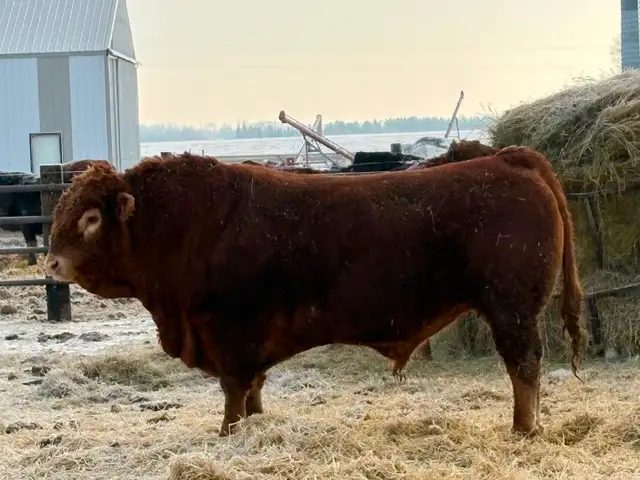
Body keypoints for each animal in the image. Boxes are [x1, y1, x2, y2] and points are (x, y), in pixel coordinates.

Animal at [44, 147, 587, 438]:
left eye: (90, 218)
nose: (51, 264)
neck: (188, 225)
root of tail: (508, 159)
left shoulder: (231, 332)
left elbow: (234, 389)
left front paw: (229, 433)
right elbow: (255, 388)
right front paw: (257, 426)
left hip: (511, 309)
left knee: (524, 366)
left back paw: (524, 429)